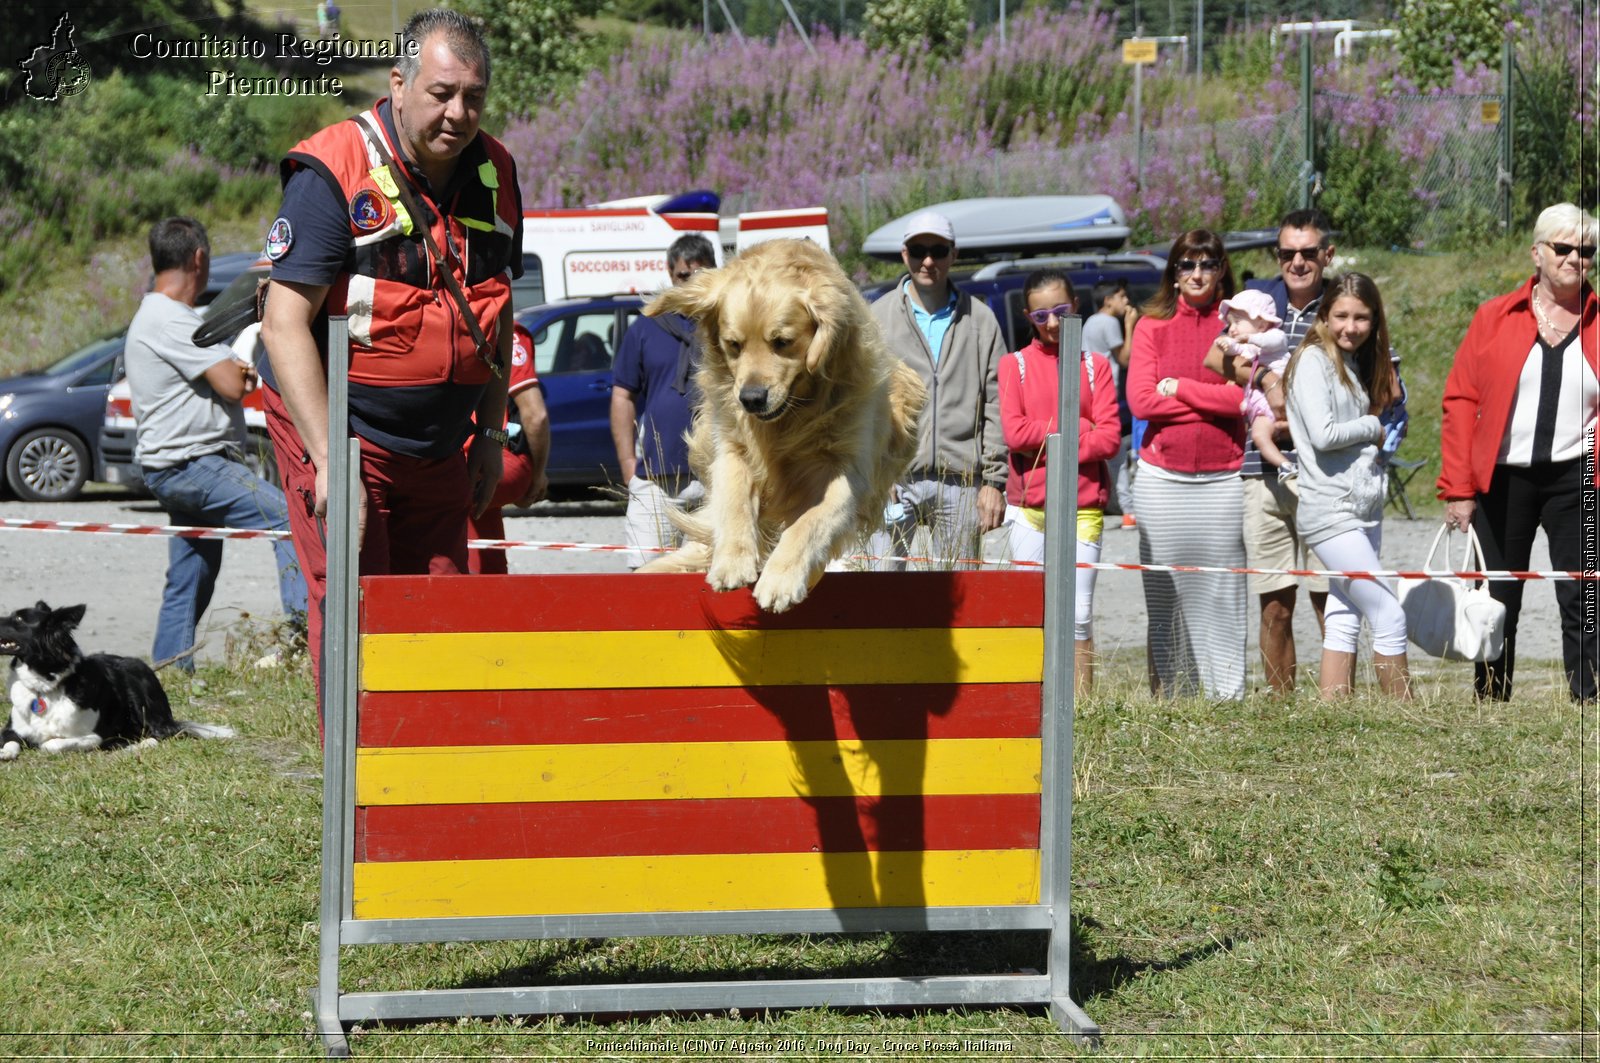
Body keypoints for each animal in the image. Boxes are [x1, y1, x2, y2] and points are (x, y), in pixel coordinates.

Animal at [0, 601, 235, 758]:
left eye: (19, 619)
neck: (45, 685)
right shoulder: (11, 730)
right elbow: (10, 742)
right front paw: (6, 752)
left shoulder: (95, 736)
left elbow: (52, 744)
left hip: (139, 685)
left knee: (157, 735)